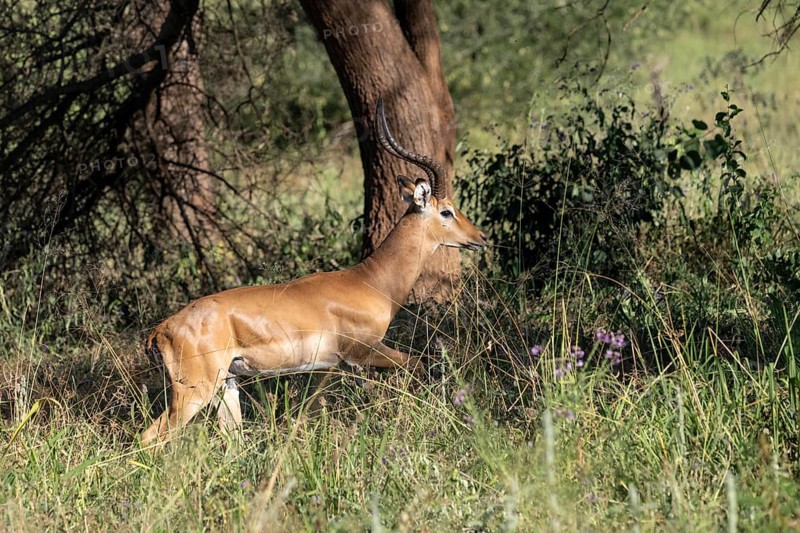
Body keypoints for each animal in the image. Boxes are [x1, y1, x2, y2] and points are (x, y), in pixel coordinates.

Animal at [141, 99, 486, 445]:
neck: (371, 281)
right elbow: (416, 362)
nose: (480, 237)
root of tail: (161, 330)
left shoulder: (329, 368)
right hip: (194, 391)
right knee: (150, 437)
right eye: (447, 211)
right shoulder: (363, 352)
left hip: (227, 385)